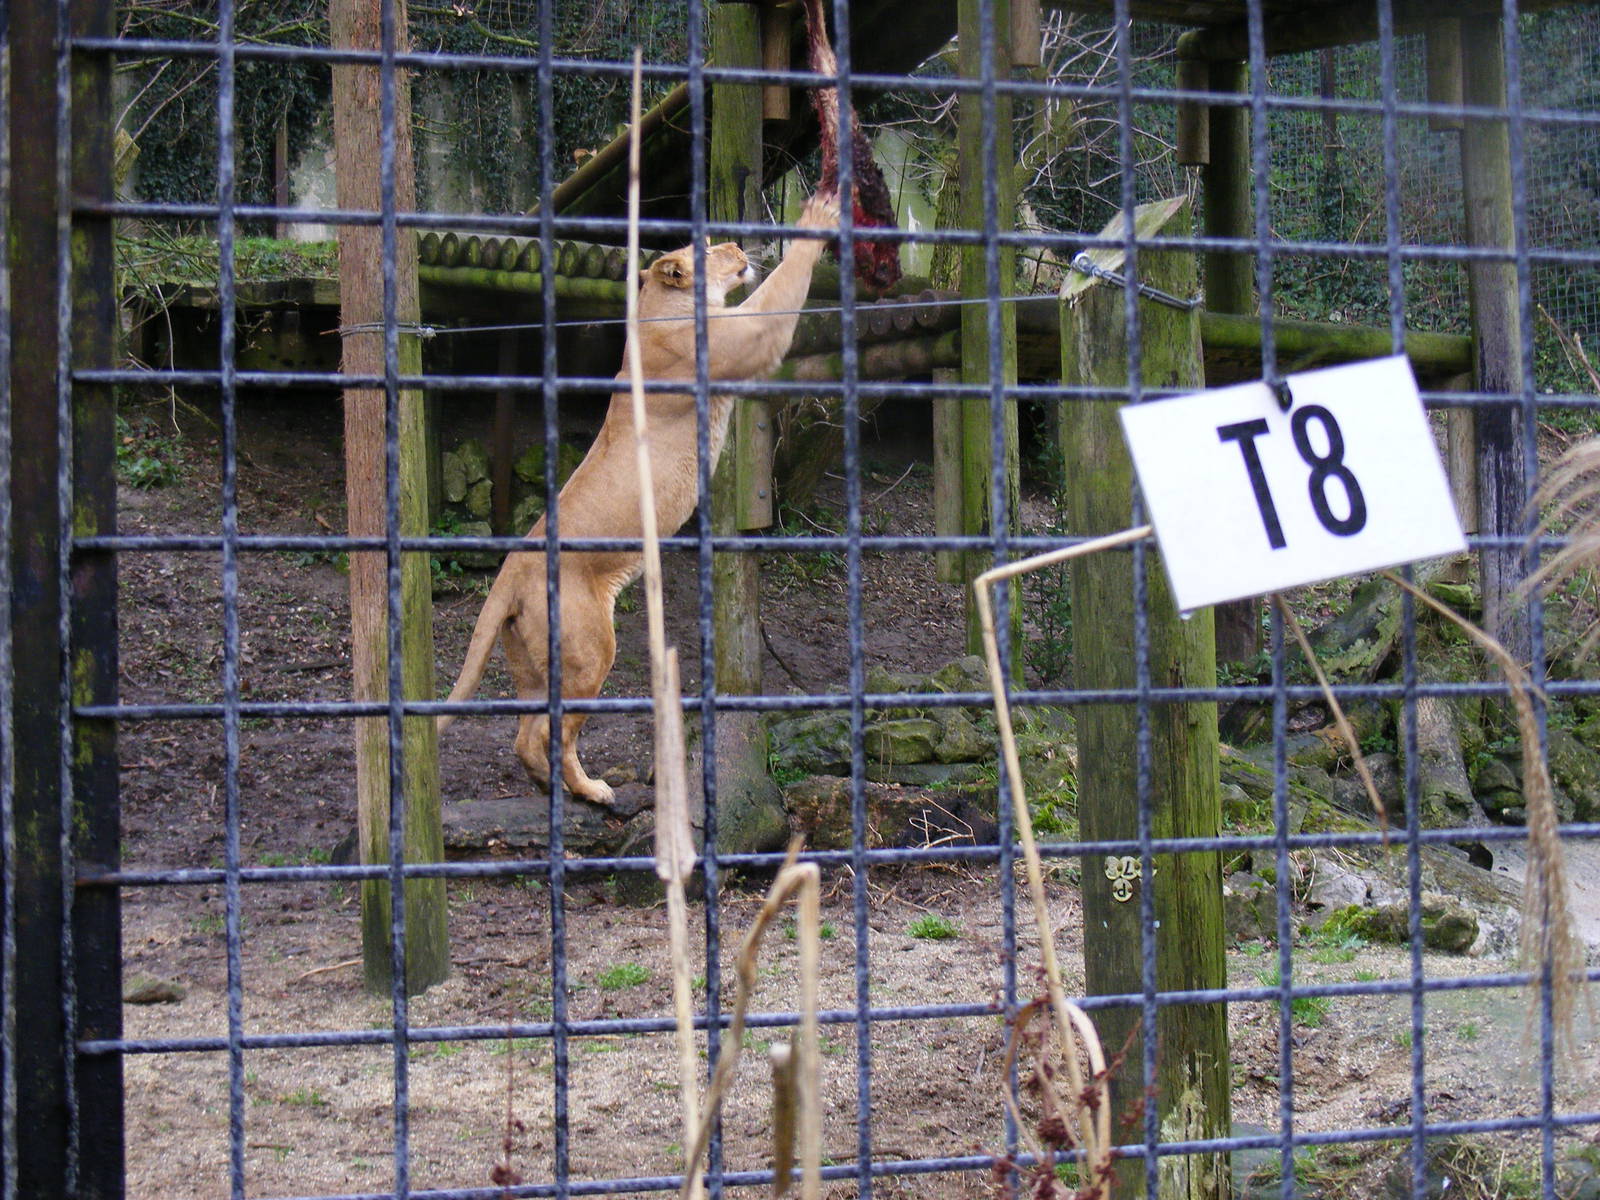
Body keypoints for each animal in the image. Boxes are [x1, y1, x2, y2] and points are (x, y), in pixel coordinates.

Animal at [439, 190, 842, 803]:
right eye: (705, 248)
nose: (736, 244)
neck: (656, 304)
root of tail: (510, 570)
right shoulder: (743, 337)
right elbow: (781, 291)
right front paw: (818, 217)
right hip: (588, 649)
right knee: (551, 733)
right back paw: (591, 791)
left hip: (532, 658)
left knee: (525, 734)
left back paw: (553, 788)